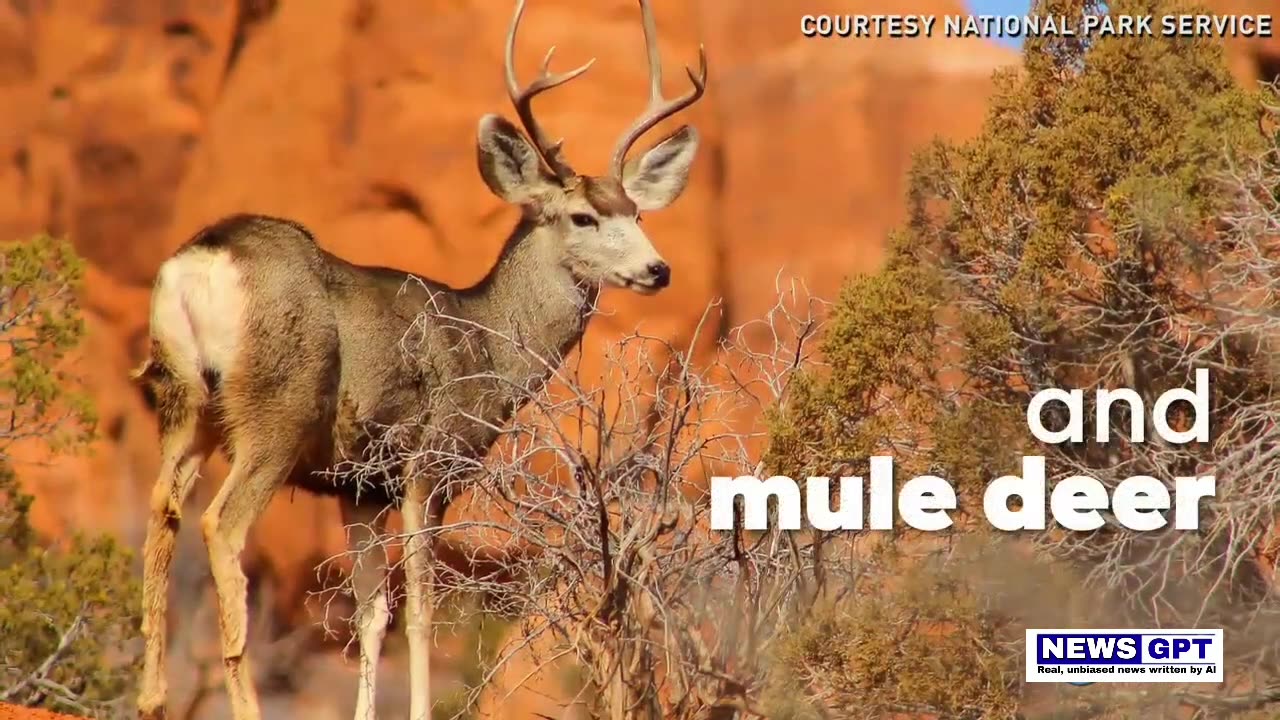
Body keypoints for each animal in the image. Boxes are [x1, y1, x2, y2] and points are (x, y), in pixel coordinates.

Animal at [129, 1, 706, 717]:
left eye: (636, 213)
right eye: (582, 217)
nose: (659, 269)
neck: (486, 342)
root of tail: (203, 259)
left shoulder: (358, 485)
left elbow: (371, 615)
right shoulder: (430, 462)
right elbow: (422, 613)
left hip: (186, 401)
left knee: (162, 510)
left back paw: (150, 697)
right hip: (278, 407)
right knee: (221, 525)